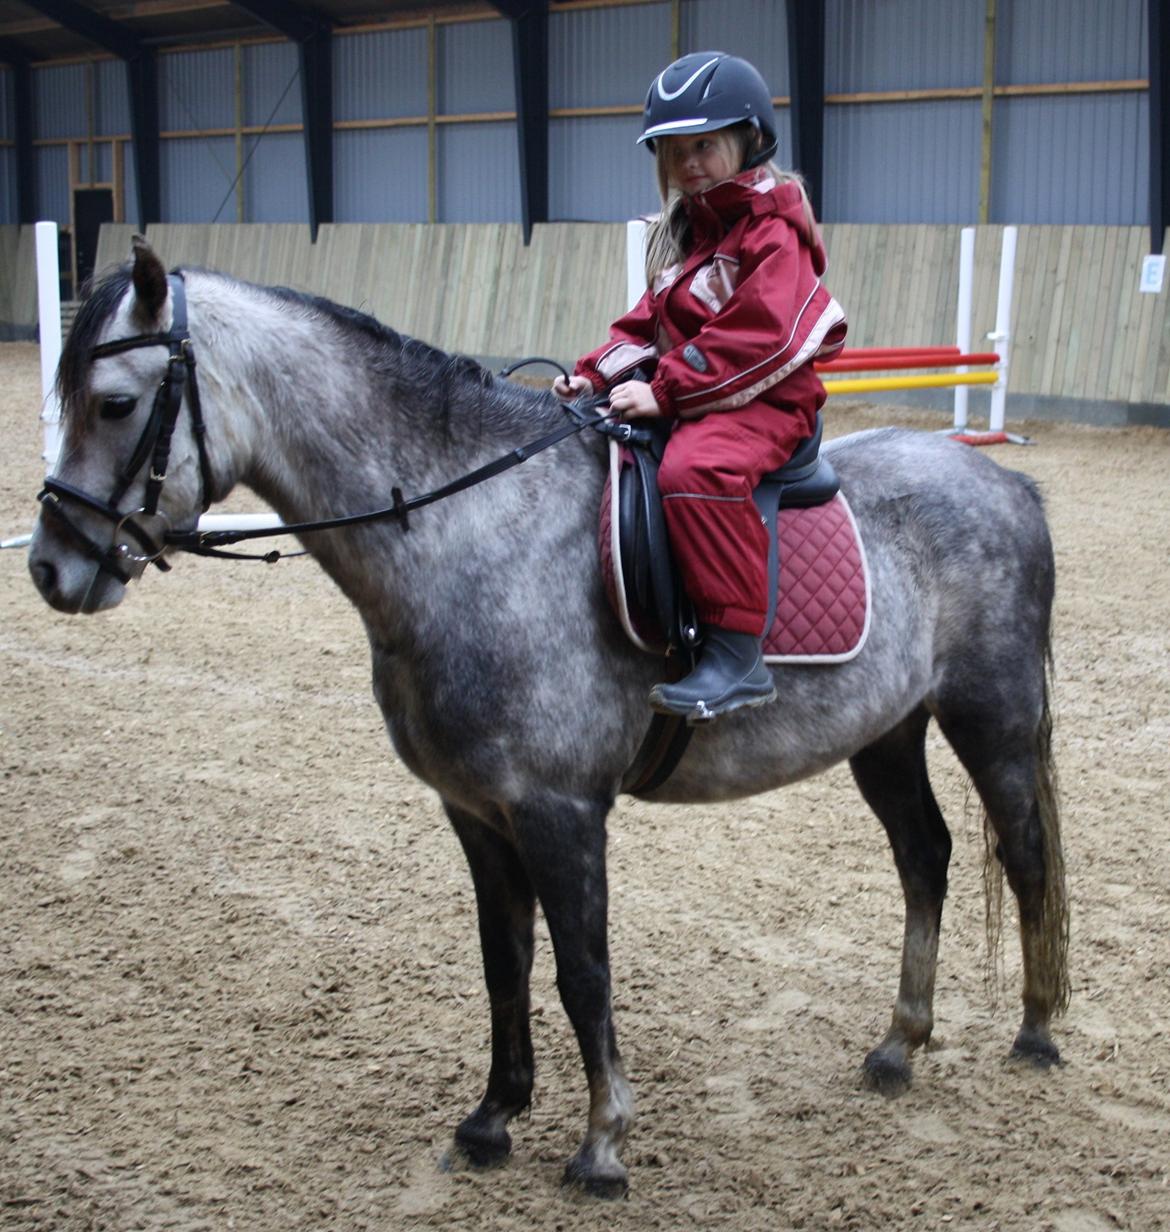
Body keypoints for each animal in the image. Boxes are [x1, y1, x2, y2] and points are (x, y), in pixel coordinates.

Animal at [28, 239, 1069, 1198]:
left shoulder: (559, 811)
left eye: (114, 403)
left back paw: (1037, 1031)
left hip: (990, 717)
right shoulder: (476, 811)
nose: (49, 566)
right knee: (924, 857)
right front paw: (493, 1119)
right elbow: (507, 962)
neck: (474, 529)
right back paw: (899, 1045)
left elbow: (582, 971)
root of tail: (1005, 486)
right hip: (885, 734)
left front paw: (602, 1143)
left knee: (1021, 853)